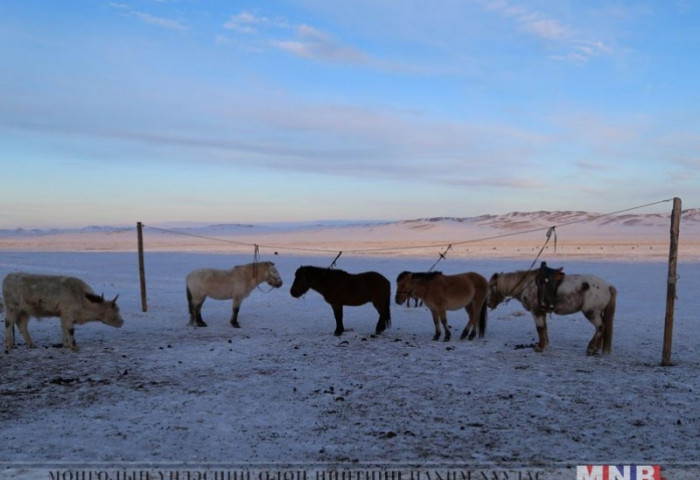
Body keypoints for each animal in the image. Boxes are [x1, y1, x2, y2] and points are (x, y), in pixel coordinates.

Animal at [486, 270, 616, 356]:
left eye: (491, 287)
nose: (488, 304)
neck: (527, 285)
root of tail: (607, 286)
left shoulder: (536, 311)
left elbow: (540, 328)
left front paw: (540, 347)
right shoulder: (542, 312)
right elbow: (544, 328)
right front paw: (545, 345)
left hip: (591, 312)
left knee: (601, 327)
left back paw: (591, 349)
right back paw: (595, 349)